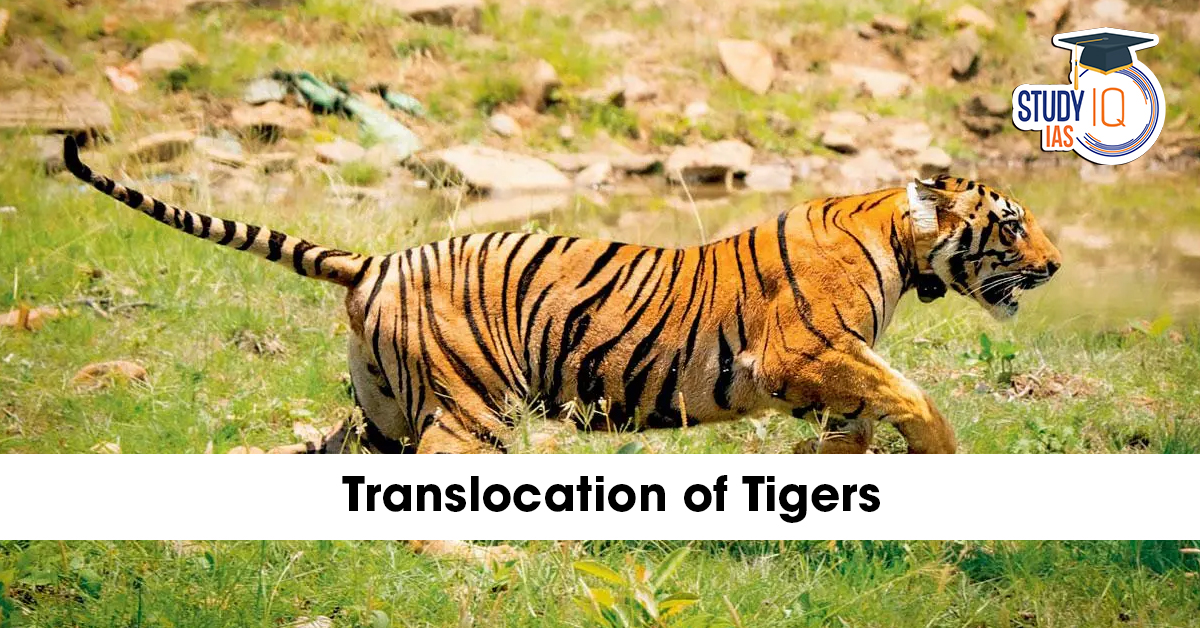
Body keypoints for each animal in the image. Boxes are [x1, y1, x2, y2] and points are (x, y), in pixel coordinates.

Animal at [64, 136, 1061, 455]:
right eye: (1013, 225)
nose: (1054, 268)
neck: (901, 245)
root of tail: (374, 262)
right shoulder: (801, 354)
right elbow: (910, 395)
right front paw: (943, 456)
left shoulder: (825, 378)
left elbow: (860, 423)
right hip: (474, 407)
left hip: (381, 412)